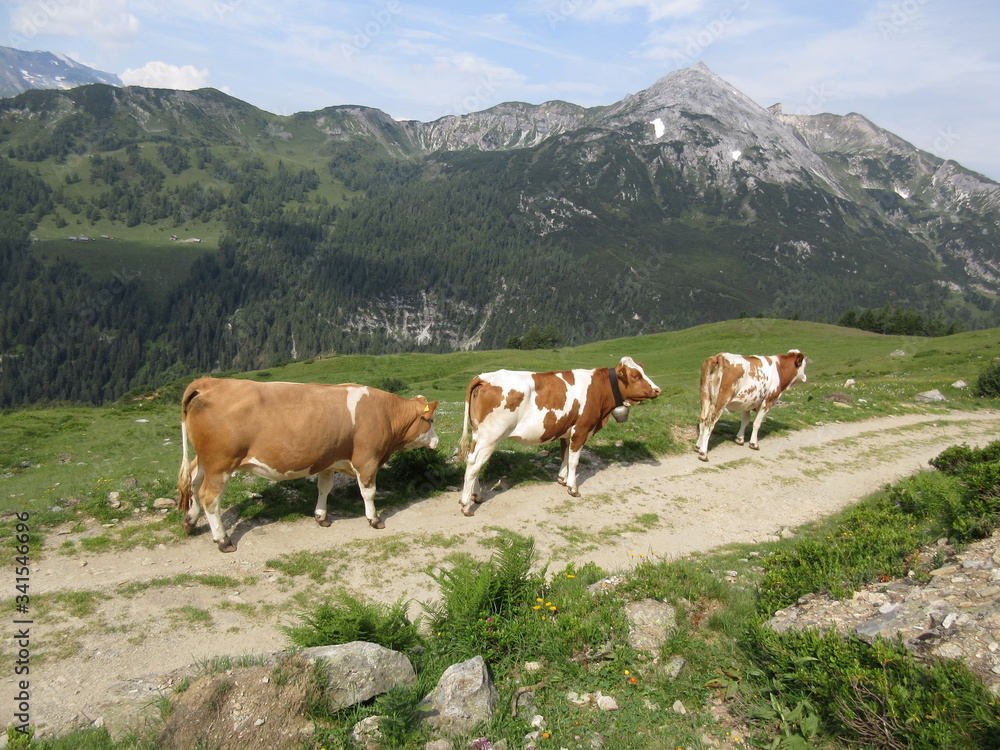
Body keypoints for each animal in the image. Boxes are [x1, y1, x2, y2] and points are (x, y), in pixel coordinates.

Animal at [175, 382, 438, 552]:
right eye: (431, 420)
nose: (436, 440)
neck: (385, 412)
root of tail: (210, 382)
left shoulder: (328, 460)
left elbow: (324, 488)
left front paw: (321, 516)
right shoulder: (368, 459)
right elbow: (369, 493)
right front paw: (374, 519)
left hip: (204, 461)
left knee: (194, 483)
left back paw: (189, 522)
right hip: (220, 464)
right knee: (210, 498)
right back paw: (223, 540)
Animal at [458, 358, 660, 516]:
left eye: (642, 371)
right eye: (636, 376)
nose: (657, 390)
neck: (599, 390)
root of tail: (486, 377)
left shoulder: (566, 430)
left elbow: (564, 455)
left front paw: (562, 479)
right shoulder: (581, 429)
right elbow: (574, 460)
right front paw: (572, 488)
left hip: (479, 434)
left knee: (473, 461)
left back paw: (477, 496)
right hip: (491, 435)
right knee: (474, 464)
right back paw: (466, 505)